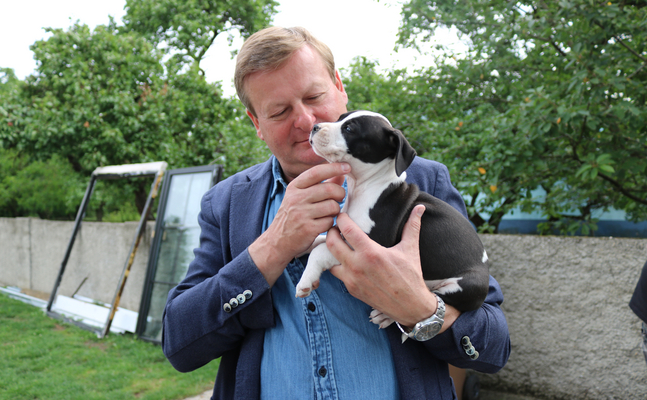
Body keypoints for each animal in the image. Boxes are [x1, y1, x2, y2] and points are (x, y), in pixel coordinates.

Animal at [296, 109, 488, 328]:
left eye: (349, 129)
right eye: (339, 118)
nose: (315, 127)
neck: (365, 187)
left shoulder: (369, 245)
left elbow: (320, 250)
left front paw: (305, 281)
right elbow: (321, 239)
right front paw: (301, 245)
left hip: (462, 287)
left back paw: (385, 315)